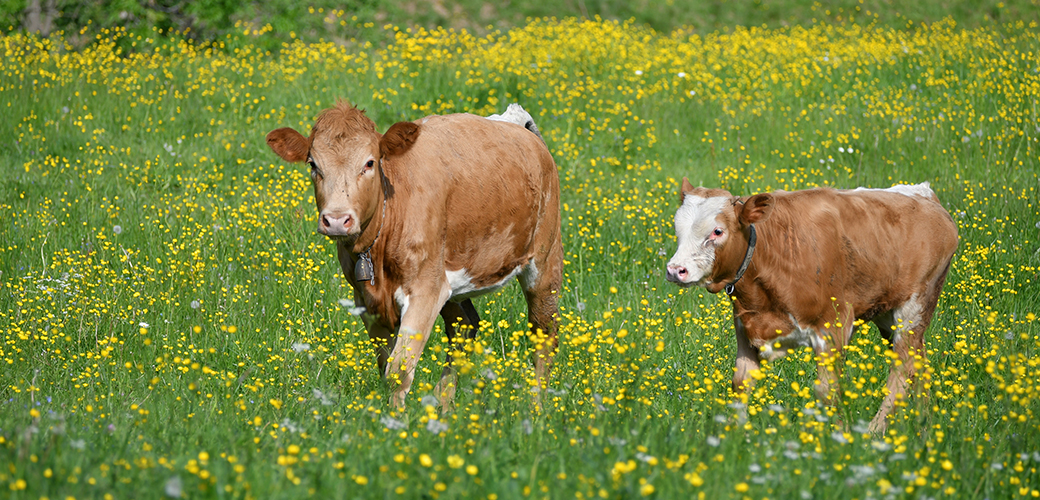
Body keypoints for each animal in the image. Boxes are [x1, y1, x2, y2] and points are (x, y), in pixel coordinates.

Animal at [266, 100, 561, 405]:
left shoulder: (425, 290)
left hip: (544, 259)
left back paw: (536, 406)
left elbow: (398, 370)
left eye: (370, 163)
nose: (336, 219)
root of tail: (511, 121)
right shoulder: (367, 300)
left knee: (544, 332)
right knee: (465, 326)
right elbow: (384, 365)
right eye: (313, 164)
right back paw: (443, 407)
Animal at [665, 178, 956, 428]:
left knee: (903, 370)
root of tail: (924, 194)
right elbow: (741, 382)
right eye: (678, 228)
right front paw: (734, 436)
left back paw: (874, 432)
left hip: (914, 308)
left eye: (717, 231)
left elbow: (828, 390)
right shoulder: (745, 327)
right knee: (919, 364)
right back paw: (923, 425)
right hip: (888, 315)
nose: (676, 269)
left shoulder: (834, 325)